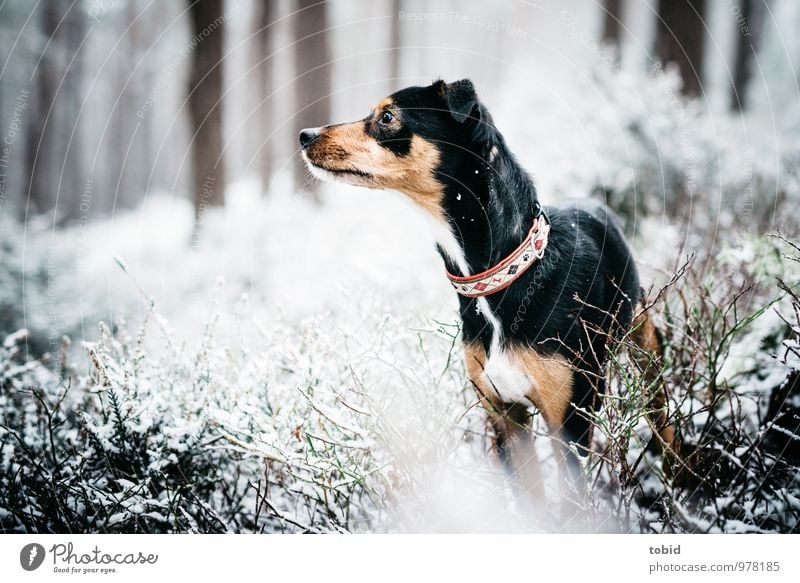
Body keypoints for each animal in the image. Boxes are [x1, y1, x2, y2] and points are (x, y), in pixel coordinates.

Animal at [300, 77, 676, 486]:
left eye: (387, 117)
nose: (304, 134)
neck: (503, 274)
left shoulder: (571, 419)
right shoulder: (503, 415)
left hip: (644, 340)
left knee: (662, 414)